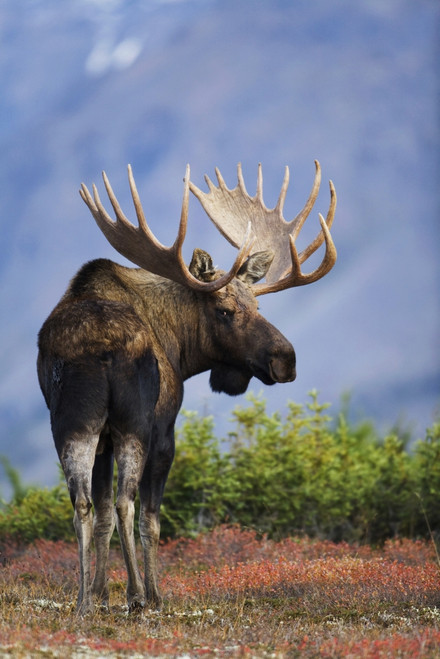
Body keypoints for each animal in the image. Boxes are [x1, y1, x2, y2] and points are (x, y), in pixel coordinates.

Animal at [37, 160, 336, 615]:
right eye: (226, 310)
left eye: (258, 305)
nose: (286, 359)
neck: (181, 347)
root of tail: (99, 348)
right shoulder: (164, 428)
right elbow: (151, 519)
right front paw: (149, 594)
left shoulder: (102, 439)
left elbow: (102, 513)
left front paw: (99, 593)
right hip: (134, 424)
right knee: (128, 504)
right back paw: (139, 597)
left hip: (73, 424)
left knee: (83, 504)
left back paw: (83, 602)